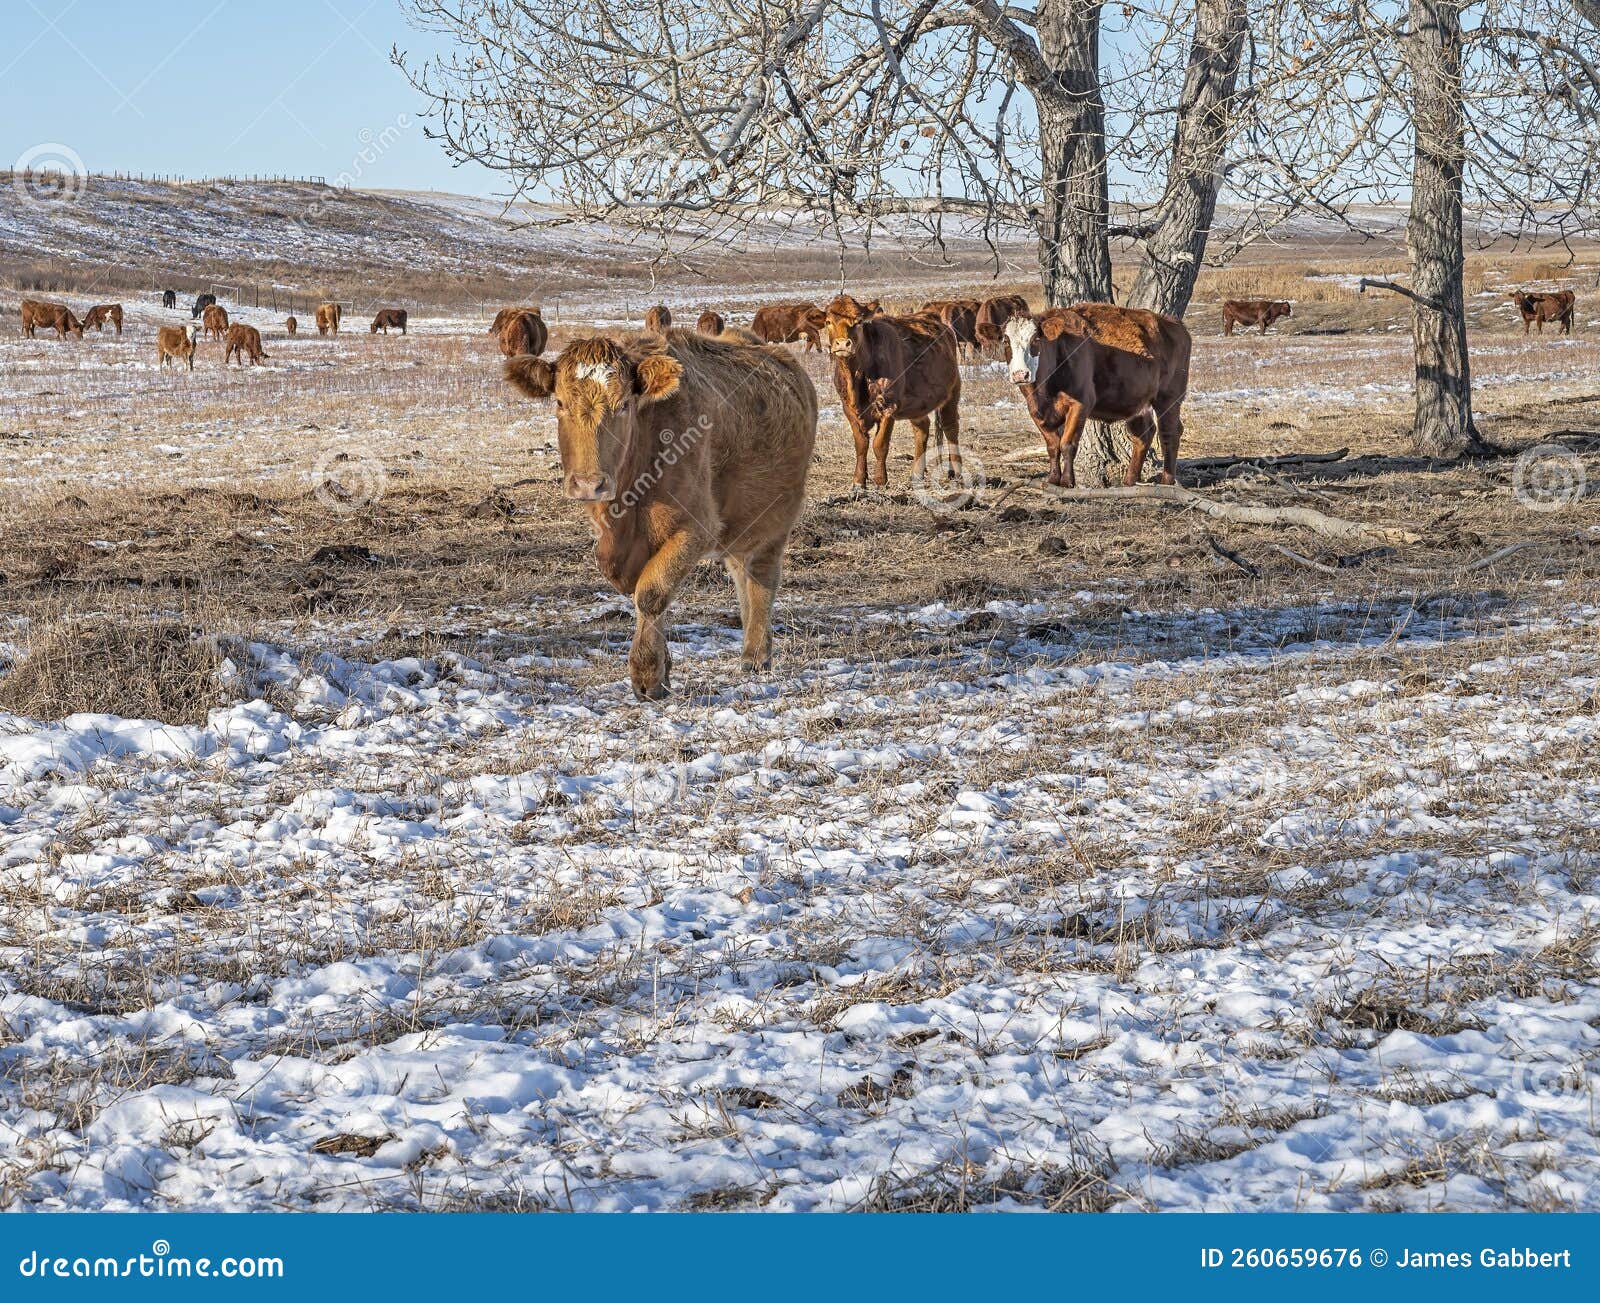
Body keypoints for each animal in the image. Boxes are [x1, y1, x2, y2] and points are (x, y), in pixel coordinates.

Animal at [502, 329, 817, 700]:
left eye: (624, 405)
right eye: (561, 403)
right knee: (743, 576)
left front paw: (648, 676)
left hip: (774, 521)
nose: (589, 483)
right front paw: (664, 666)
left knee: (762, 579)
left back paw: (756, 657)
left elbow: (651, 593)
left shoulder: (696, 529)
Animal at [824, 293, 962, 488]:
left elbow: (879, 444)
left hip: (952, 392)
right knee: (922, 429)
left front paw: (880, 481)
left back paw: (957, 472)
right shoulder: (849, 409)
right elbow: (861, 444)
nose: (843, 344)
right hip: (918, 402)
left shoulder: (889, 405)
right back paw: (916, 474)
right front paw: (858, 481)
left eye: (858, 321)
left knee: (950, 428)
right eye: (828, 321)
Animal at [1003, 304, 1192, 489]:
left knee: (1169, 433)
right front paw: (1052, 479)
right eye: (1005, 341)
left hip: (1169, 397)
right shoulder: (1036, 411)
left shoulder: (1080, 403)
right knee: (1143, 434)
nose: (1020, 374)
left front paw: (1067, 482)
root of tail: (1173, 322)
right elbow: (1052, 446)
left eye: (1035, 339)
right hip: (1137, 399)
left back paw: (1167, 483)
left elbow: (1067, 444)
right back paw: (1130, 481)